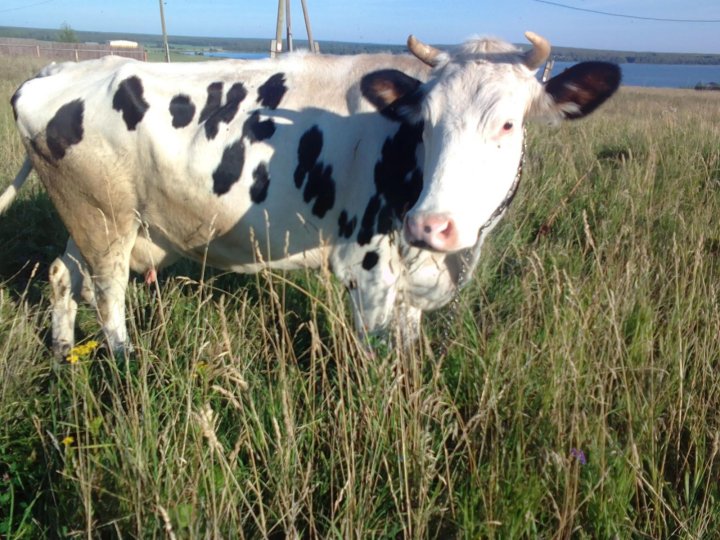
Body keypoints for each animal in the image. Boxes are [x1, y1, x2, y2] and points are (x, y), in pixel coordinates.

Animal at [1, 32, 620, 354]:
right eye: (425, 121)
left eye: (509, 124)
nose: (431, 225)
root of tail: (60, 70)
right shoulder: (366, 268)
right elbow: (378, 360)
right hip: (104, 221)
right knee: (108, 297)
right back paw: (126, 363)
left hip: (94, 219)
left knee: (62, 276)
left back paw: (62, 351)